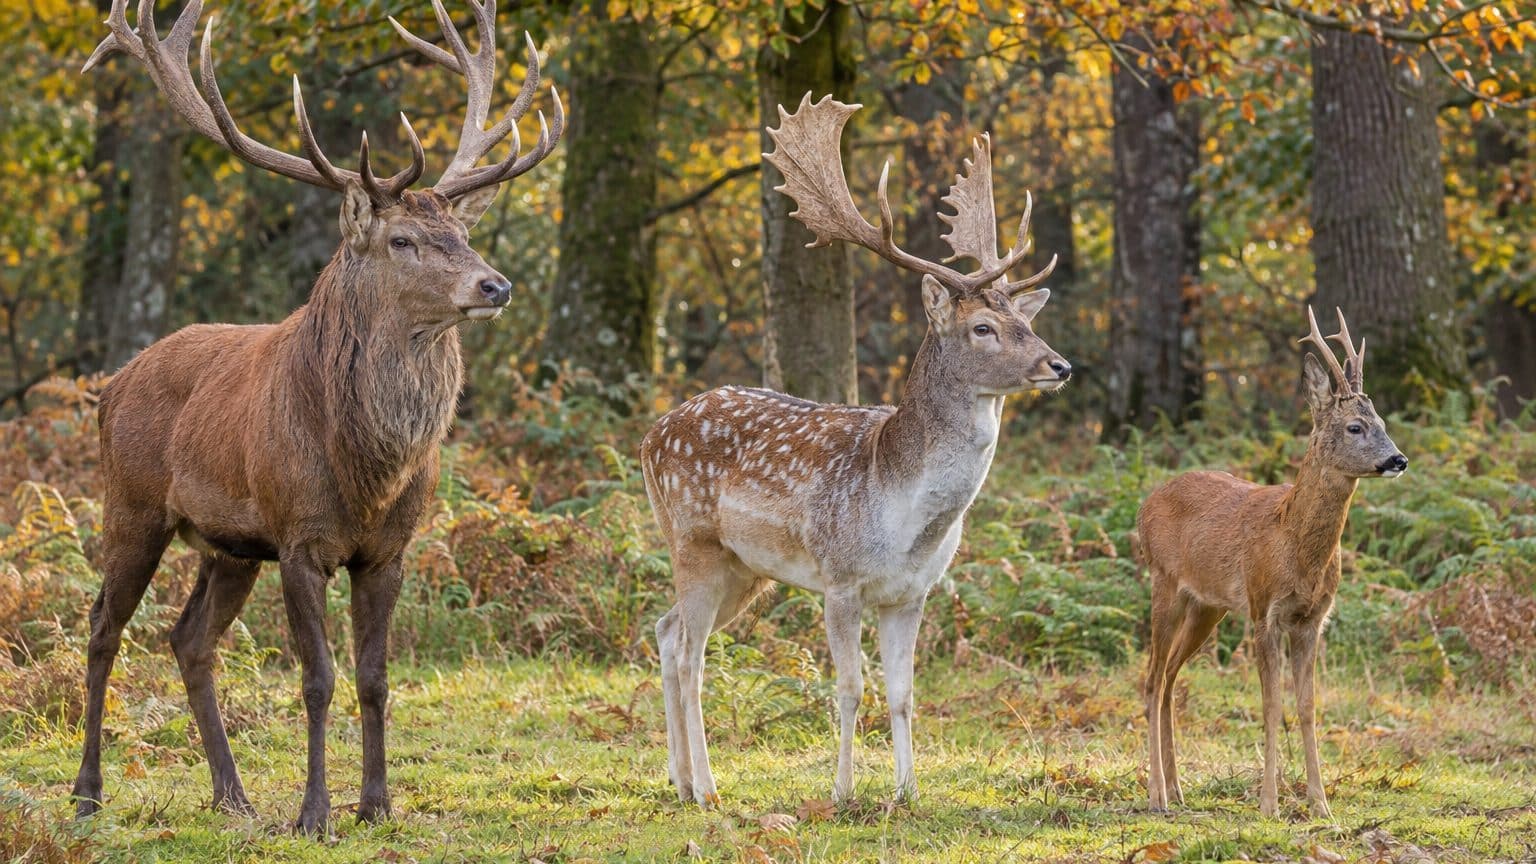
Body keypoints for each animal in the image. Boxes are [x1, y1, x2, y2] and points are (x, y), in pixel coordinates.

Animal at [70, 0, 561, 834]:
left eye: (462, 234)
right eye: (403, 239)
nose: (495, 285)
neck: (366, 471)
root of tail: (114, 382)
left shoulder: (389, 551)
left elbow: (374, 677)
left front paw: (378, 805)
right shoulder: (299, 538)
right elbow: (318, 678)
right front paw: (313, 814)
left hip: (228, 547)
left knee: (188, 639)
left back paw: (231, 796)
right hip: (132, 505)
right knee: (105, 626)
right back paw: (87, 792)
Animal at [641, 93, 1070, 808]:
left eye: (1026, 321)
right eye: (983, 327)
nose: (1058, 365)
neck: (903, 513)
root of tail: (651, 434)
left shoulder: (911, 593)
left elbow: (903, 694)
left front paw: (907, 792)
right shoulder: (839, 581)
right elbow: (848, 688)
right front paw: (843, 793)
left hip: (743, 569)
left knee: (666, 629)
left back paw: (678, 780)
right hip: (692, 540)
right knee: (690, 653)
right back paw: (706, 789)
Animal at [1137, 307, 1409, 819]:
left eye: (1382, 420)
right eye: (1355, 427)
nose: (1398, 460)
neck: (1295, 548)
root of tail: (1147, 502)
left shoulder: (1312, 620)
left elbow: (1307, 708)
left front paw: (1321, 805)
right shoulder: (1265, 612)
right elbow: (1270, 706)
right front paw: (1269, 804)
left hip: (1208, 607)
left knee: (1170, 678)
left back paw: (1178, 790)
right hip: (1163, 583)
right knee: (1152, 679)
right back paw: (1158, 794)